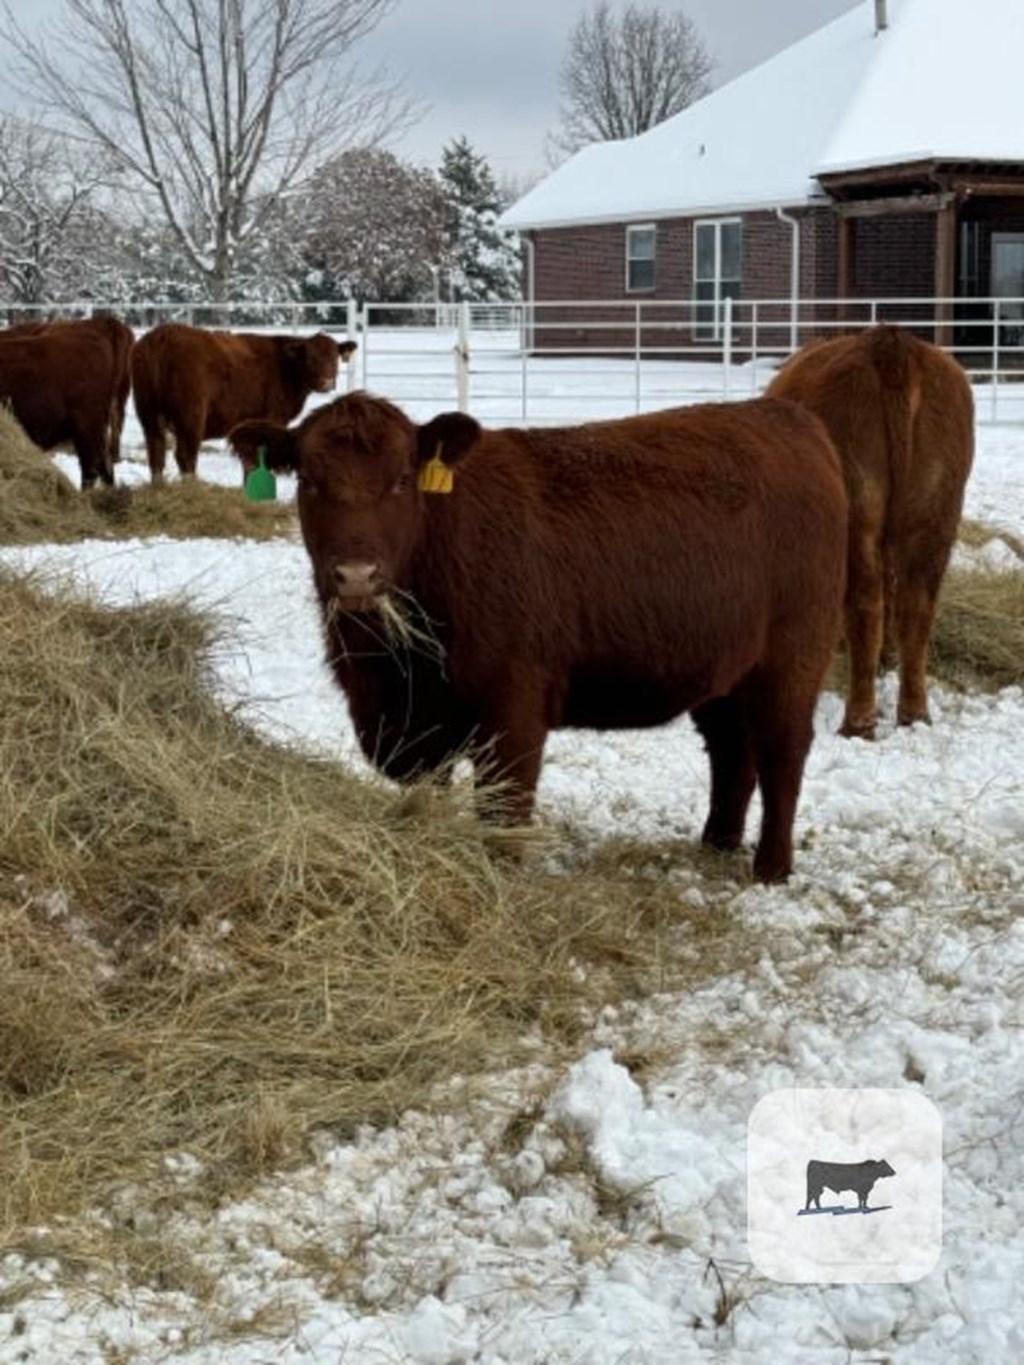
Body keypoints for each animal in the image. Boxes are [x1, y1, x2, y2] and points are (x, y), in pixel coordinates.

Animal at [132, 322, 357, 483]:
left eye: (334, 357)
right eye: (310, 358)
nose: (327, 382)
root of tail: (161, 336)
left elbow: (249, 463)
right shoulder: (272, 419)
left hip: (148, 413)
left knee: (156, 453)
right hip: (191, 416)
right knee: (185, 456)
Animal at [232, 395, 851, 884]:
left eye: (402, 479)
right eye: (309, 481)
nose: (357, 575)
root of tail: (786, 417)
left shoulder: (513, 707)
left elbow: (504, 810)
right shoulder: (418, 723)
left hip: (792, 659)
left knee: (781, 754)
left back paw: (771, 868)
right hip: (721, 669)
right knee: (732, 751)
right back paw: (716, 844)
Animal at [770, 326, 977, 742]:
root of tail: (890, 342)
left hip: (856, 517)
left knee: (866, 606)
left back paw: (858, 722)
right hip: (934, 519)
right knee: (915, 608)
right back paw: (913, 714)